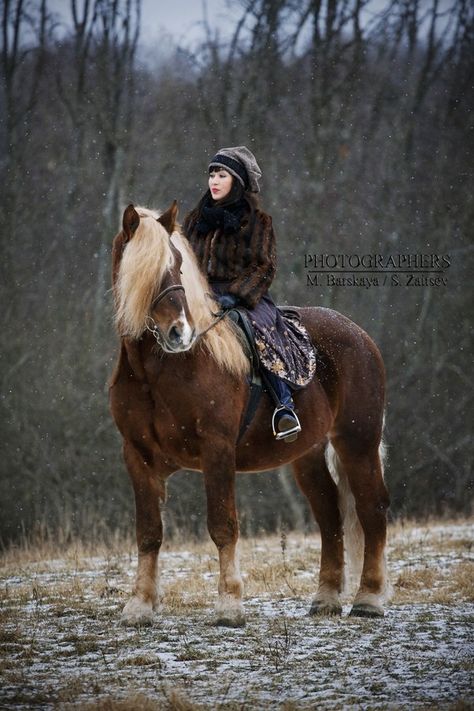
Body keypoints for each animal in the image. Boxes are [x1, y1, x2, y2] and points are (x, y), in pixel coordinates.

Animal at [110, 202, 388, 628]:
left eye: (178, 265)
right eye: (142, 269)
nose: (178, 333)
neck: (157, 371)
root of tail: (360, 336)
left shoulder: (217, 449)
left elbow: (223, 526)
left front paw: (229, 606)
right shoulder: (138, 455)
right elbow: (149, 532)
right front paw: (139, 606)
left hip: (358, 444)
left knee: (371, 510)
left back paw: (368, 600)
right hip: (308, 455)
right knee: (330, 518)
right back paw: (325, 599)